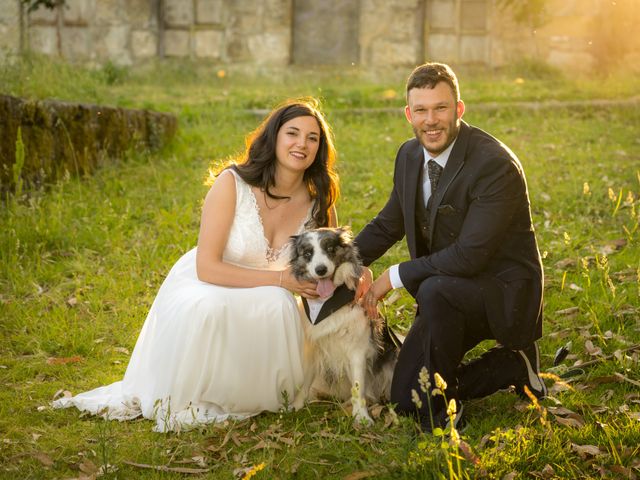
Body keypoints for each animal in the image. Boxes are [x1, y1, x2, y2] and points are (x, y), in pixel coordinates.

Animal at [290, 228, 400, 424]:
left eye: (330, 249)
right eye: (307, 253)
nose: (321, 270)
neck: (327, 302)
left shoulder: (357, 350)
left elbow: (357, 385)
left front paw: (362, 417)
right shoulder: (312, 348)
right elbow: (305, 379)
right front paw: (296, 404)